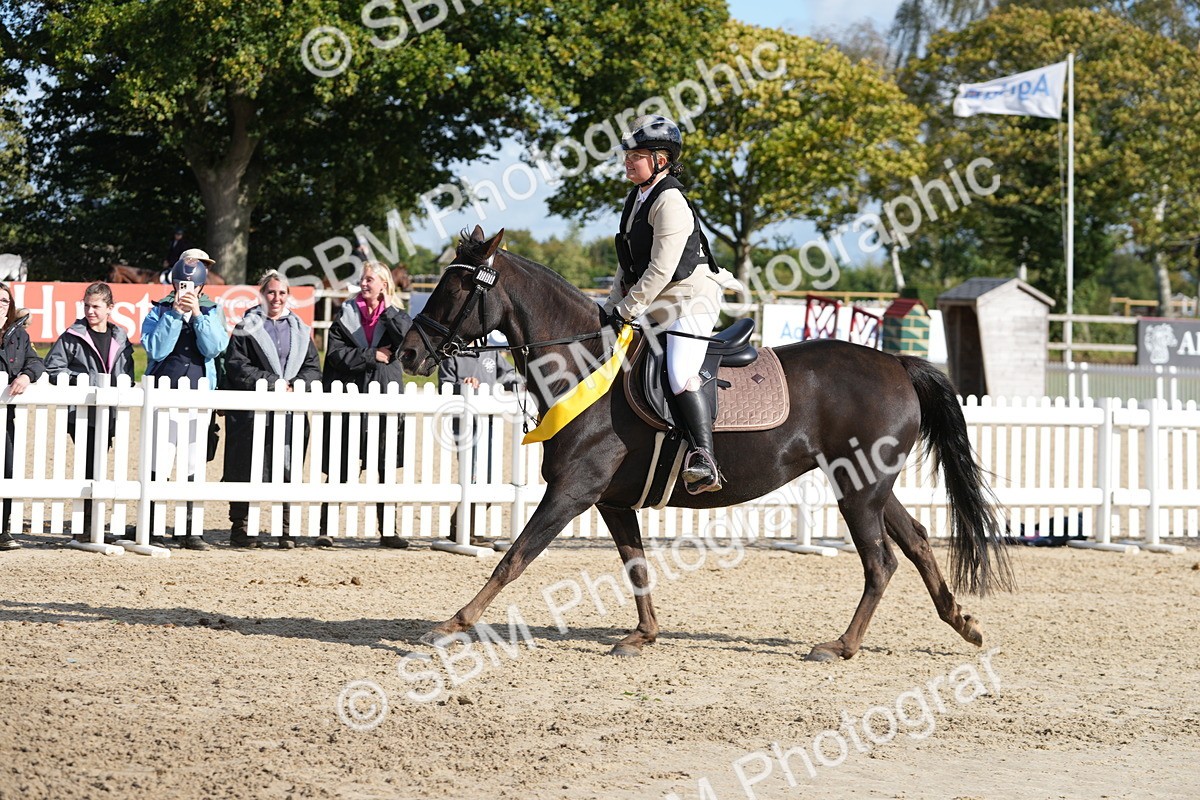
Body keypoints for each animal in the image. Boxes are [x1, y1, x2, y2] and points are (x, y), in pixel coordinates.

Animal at [398, 226, 1012, 661]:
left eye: (456, 288)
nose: (405, 353)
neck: (585, 364)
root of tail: (897, 364)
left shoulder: (571, 493)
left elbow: (513, 559)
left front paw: (452, 624)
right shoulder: (612, 501)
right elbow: (635, 564)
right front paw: (643, 635)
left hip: (857, 490)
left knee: (881, 561)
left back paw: (841, 646)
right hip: (868, 483)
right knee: (917, 541)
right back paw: (963, 623)